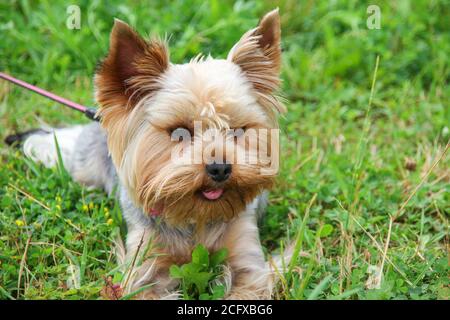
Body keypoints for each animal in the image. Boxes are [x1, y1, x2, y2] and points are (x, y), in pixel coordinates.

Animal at [12, 8, 286, 298]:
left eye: (237, 130)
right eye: (179, 131)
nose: (220, 167)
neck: (196, 216)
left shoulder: (249, 263)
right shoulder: (144, 265)